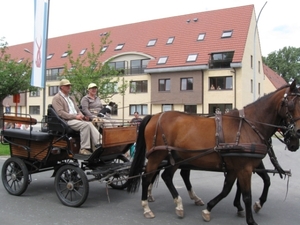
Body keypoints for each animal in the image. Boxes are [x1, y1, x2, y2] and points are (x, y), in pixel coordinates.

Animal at [127, 81, 300, 225]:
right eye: (292, 105)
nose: (296, 138)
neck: (248, 125)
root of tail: (154, 116)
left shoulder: (239, 166)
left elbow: (230, 188)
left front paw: (211, 209)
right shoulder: (244, 168)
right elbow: (247, 195)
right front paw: (250, 219)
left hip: (175, 157)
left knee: (167, 176)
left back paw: (179, 205)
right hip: (157, 156)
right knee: (147, 177)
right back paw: (146, 207)